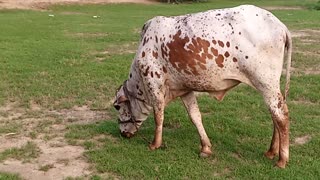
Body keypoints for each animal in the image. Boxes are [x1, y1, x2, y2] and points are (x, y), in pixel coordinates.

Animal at [113, 4, 292, 168]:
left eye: (117, 106)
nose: (122, 133)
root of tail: (281, 26)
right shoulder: (185, 89)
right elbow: (195, 116)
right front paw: (205, 148)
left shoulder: (155, 85)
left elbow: (159, 116)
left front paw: (155, 144)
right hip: (271, 87)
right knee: (275, 115)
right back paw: (271, 152)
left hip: (266, 84)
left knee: (280, 115)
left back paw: (282, 160)